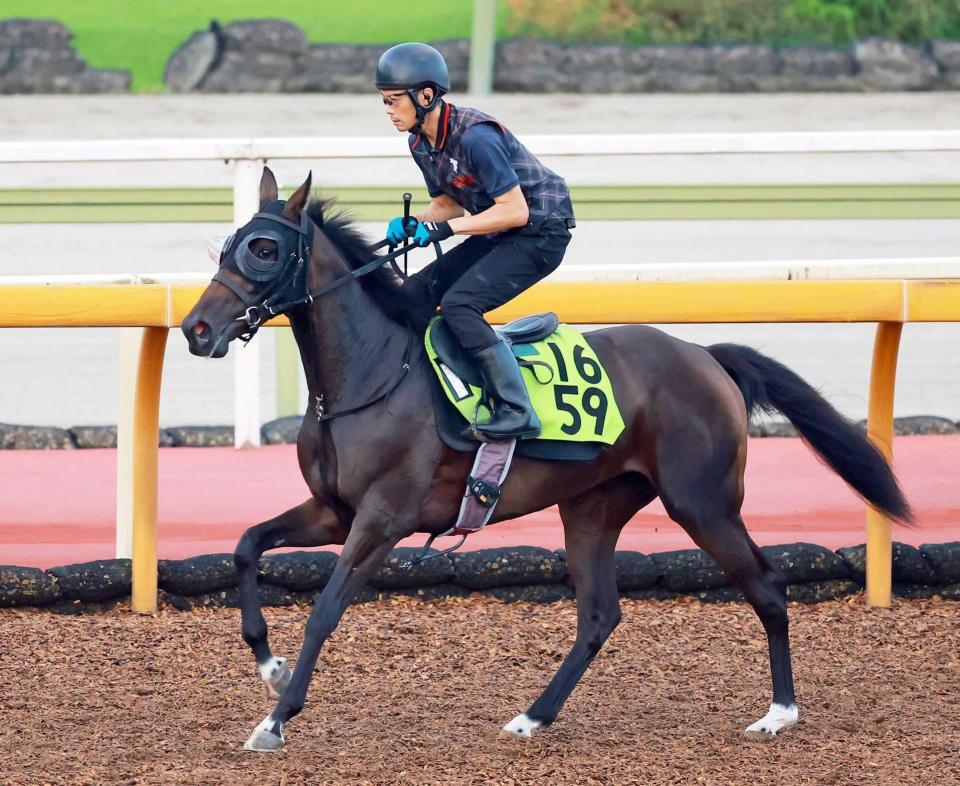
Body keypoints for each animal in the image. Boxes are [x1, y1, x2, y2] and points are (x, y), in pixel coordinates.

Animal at [182, 167, 911, 752]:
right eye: (228, 242)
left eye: (265, 248)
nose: (196, 329)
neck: (373, 373)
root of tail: (706, 356)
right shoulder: (333, 510)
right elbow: (246, 545)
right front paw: (268, 664)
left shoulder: (382, 519)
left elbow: (326, 609)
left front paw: (275, 719)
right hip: (594, 506)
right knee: (599, 615)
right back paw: (533, 717)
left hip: (701, 503)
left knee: (767, 586)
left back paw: (779, 713)